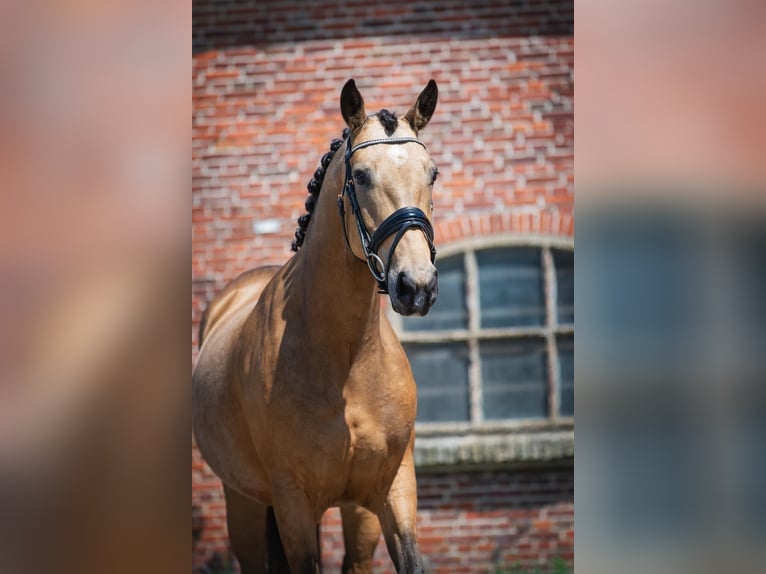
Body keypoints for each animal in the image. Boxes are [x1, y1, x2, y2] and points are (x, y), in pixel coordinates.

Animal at [195, 77, 440, 574]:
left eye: (432, 174)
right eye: (360, 176)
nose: (416, 286)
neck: (345, 361)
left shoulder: (391, 492)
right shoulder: (294, 505)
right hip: (244, 504)